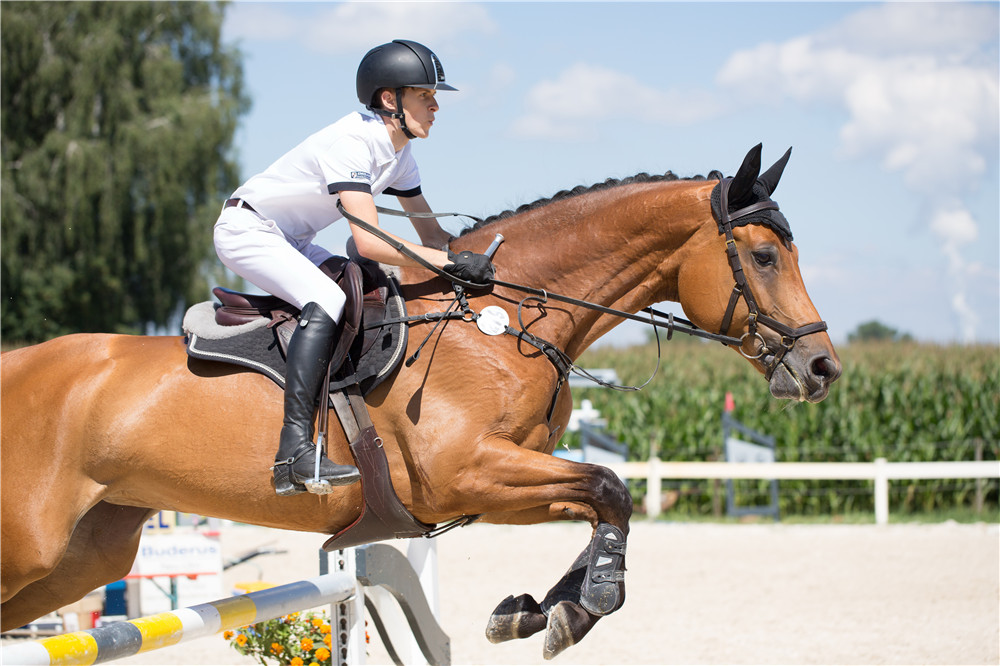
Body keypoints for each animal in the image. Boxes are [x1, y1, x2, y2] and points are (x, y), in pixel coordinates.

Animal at [3, 143, 840, 656]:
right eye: (764, 256)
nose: (823, 367)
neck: (500, 324)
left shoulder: (497, 482)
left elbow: (604, 497)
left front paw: (540, 609)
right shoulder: (465, 471)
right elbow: (609, 486)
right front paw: (585, 603)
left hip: (84, 553)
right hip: (33, 547)